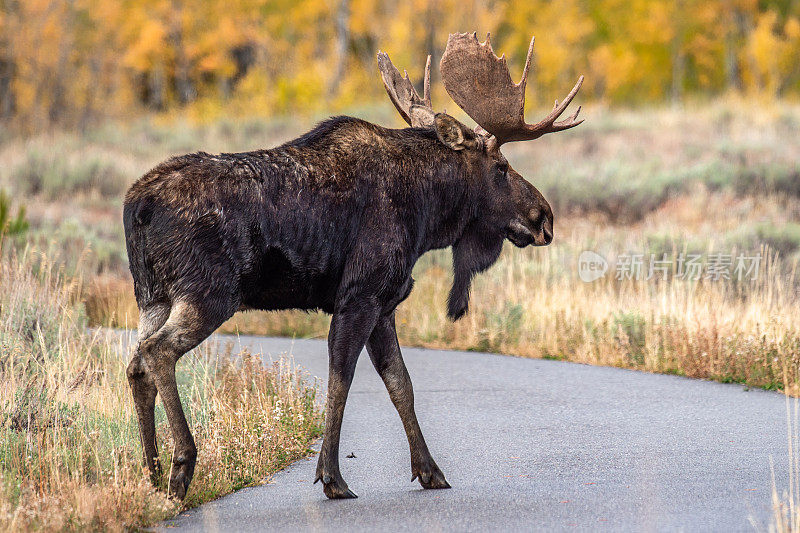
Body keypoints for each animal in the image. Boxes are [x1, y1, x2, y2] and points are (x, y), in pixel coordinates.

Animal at [125, 32, 584, 498]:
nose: (544, 218)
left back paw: (150, 474)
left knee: (136, 365)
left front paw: (429, 471)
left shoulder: (384, 305)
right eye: (502, 167)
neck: (426, 215)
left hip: (152, 296)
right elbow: (341, 380)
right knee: (158, 351)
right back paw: (181, 466)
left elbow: (401, 384)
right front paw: (332, 476)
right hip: (208, 294)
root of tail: (137, 205)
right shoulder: (360, 296)